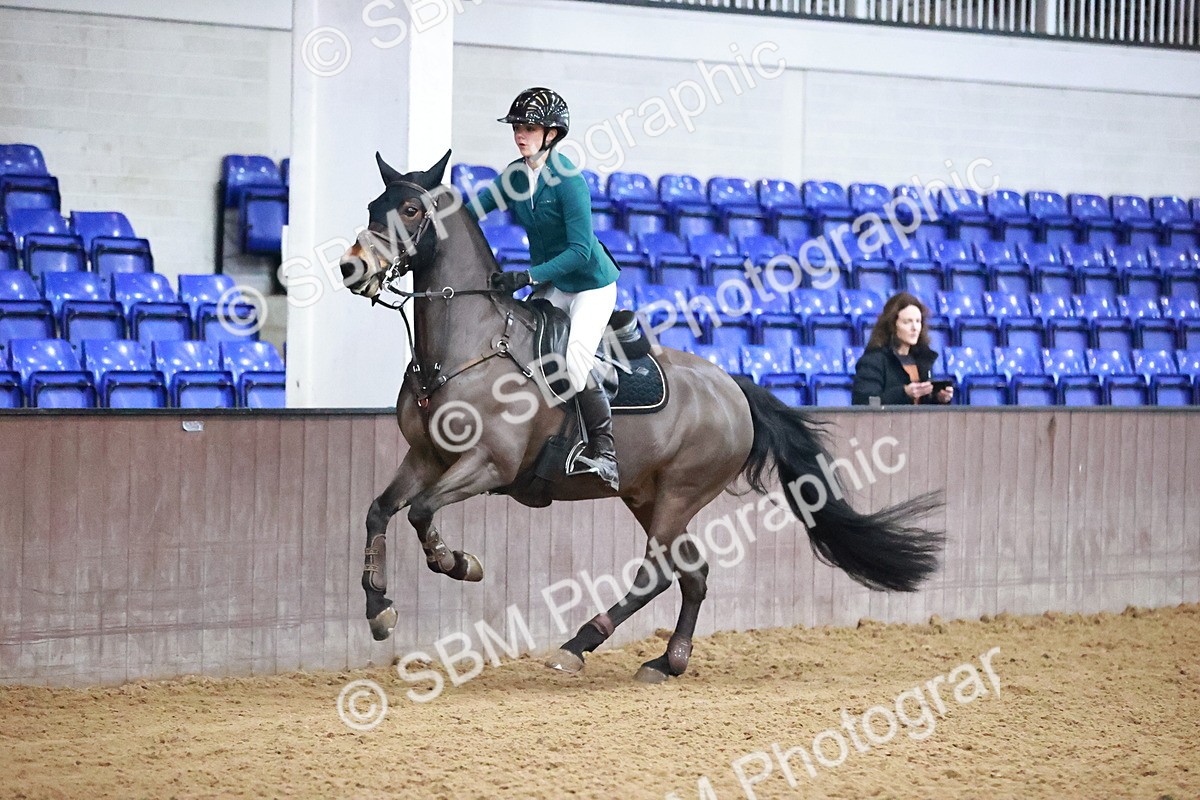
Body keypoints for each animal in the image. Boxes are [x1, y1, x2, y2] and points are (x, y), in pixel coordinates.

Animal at [337, 149, 944, 683]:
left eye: (409, 210)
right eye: (371, 206)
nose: (350, 267)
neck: (468, 346)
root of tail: (734, 388)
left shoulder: (490, 464)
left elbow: (421, 512)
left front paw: (459, 562)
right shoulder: (426, 456)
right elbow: (380, 511)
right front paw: (378, 609)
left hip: (679, 492)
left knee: (656, 573)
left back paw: (578, 645)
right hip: (646, 494)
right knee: (694, 575)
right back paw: (667, 661)